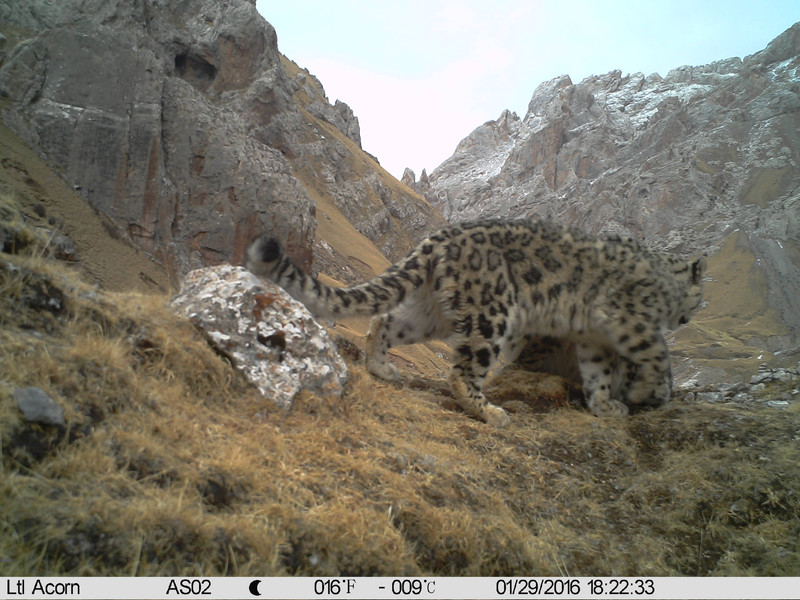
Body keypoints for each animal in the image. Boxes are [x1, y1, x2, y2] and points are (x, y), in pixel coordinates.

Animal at [246, 219, 705, 427]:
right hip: (492, 314)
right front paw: (648, 393)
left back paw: (381, 367)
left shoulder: (594, 339)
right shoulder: (630, 319)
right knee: (462, 371)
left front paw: (605, 404)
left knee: (387, 320)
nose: (690, 314)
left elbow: (598, 374)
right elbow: (657, 355)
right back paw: (492, 412)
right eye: (701, 298)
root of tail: (442, 235)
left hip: (432, 313)